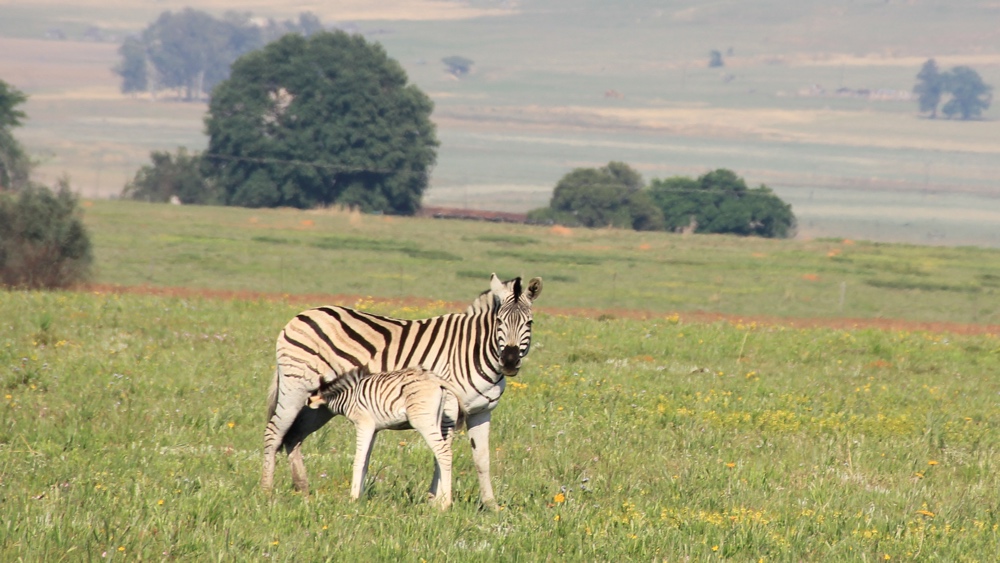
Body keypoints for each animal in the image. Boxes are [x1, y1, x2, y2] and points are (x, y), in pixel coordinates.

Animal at [306, 365, 468, 508]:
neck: (347, 396)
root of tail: (434, 378)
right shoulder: (374, 429)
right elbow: (366, 461)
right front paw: (360, 497)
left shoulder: (364, 424)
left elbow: (358, 460)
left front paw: (353, 499)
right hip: (443, 420)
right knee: (440, 457)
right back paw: (439, 501)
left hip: (423, 420)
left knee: (443, 453)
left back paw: (445, 504)